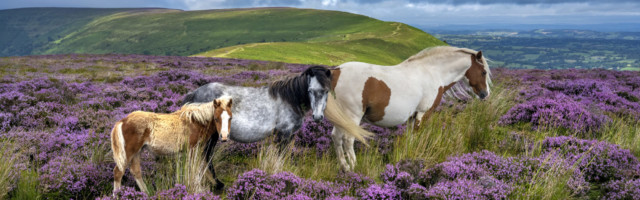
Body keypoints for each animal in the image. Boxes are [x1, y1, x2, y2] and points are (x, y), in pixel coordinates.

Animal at [328, 46, 492, 171]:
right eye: (483, 72)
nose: (485, 94)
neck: (433, 72)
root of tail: (337, 71)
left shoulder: (413, 116)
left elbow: (410, 138)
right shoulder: (423, 113)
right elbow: (417, 136)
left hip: (342, 118)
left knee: (336, 137)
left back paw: (344, 167)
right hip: (352, 116)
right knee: (348, 139)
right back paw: (354, 167)